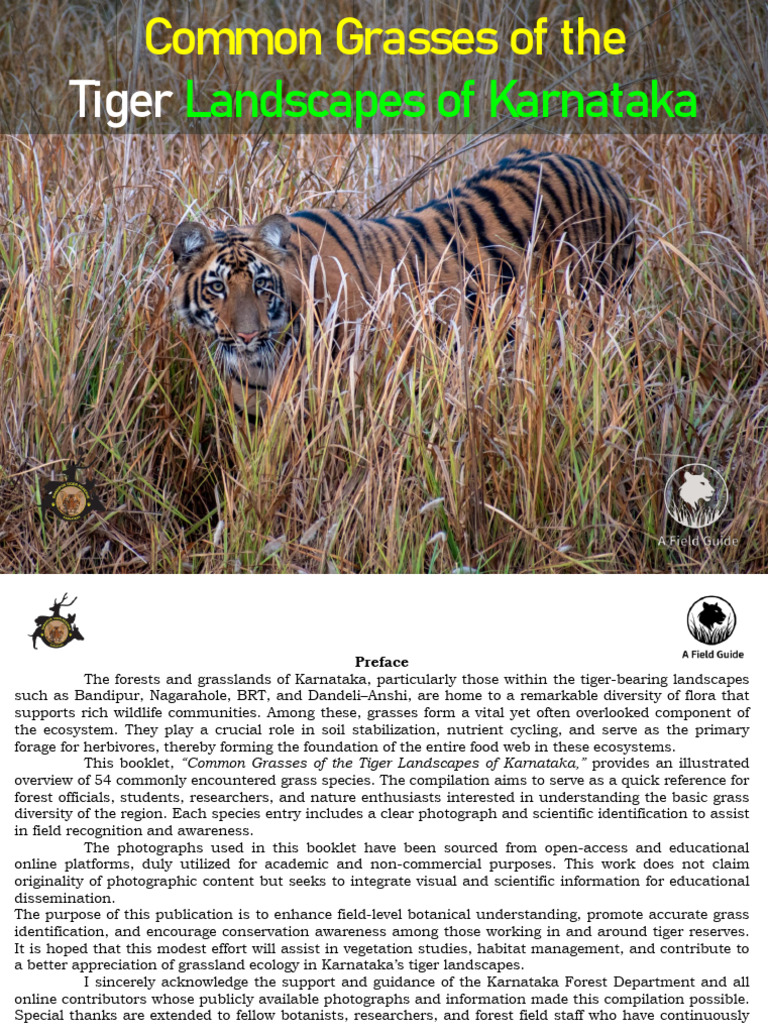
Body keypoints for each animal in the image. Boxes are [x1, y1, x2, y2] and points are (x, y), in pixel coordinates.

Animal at [169, 148, 634, 426]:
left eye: (262, 285)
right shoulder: (251, 412)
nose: (247, 336)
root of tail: (602, 171)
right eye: (217, 288)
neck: (264, 359)